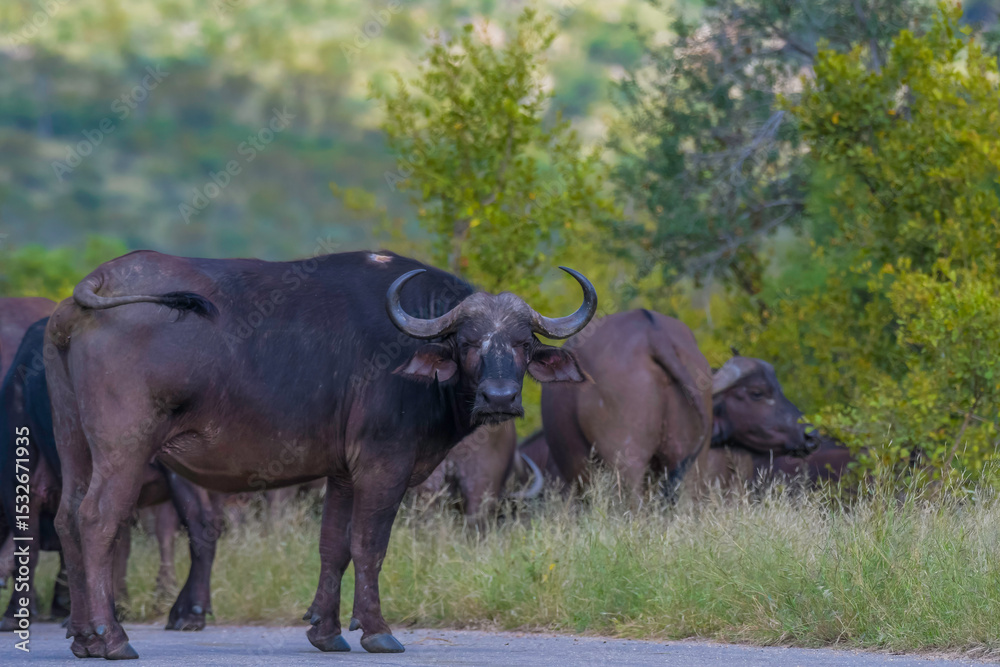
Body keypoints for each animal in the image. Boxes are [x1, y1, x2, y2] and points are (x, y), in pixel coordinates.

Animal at [0, 318, 221, 632]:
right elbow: (113, 541)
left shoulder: (17, 477)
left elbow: (29, 542)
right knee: (206, 525)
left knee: (200, 524)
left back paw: (190, 612)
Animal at [44, 249, 595, 659]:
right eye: (468, 341)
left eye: (523, 343)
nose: (500, 397)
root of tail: (99, 281)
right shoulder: (382, 465)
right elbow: (370, 545)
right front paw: (377, 631)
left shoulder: (343, 473)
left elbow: (334, 546)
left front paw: (326, 633)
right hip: (126, 445)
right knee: (98, 518)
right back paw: (113, 639)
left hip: (73, 438)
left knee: (67, 516)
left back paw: (83, 638)